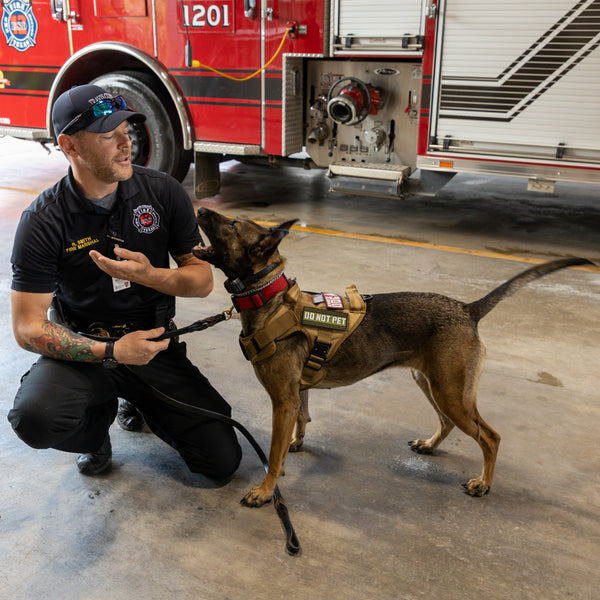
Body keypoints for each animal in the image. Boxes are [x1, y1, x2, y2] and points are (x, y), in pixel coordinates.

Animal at [192, 206, 592, 506]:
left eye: (232, 224)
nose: (199, 208)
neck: (269, 297)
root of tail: (467, 309)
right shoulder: (298, 394)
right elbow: (302, 420)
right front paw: (297, 444)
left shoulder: (283, 400)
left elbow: (273, 456)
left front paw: (265, 490)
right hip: (432, 383)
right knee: (447, 422)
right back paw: (430, 445)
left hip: (450, 391)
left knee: (490, 437)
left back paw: (483, 483)